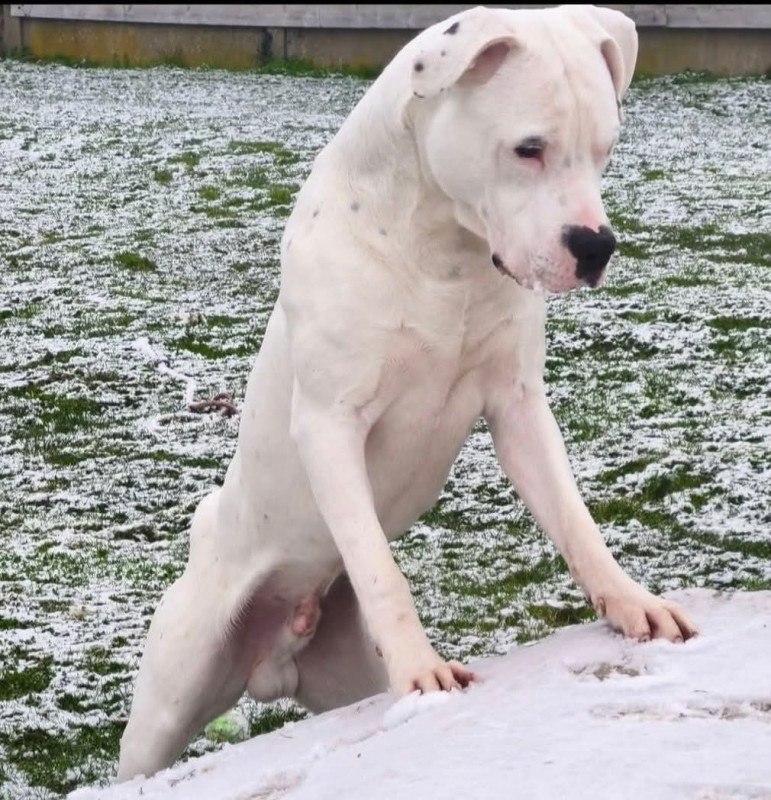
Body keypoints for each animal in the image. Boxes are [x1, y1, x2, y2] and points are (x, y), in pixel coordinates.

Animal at [118, 4, 697, 781]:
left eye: (605, 149)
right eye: (528, 149)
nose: (595, 246)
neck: (443, 252)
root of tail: (273, 660)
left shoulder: (518, 407)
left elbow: (575, 523)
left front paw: (631, 602)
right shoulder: (330, 426)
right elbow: (379, 567)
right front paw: (424, 671)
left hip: (344, 675)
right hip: (168, 701)